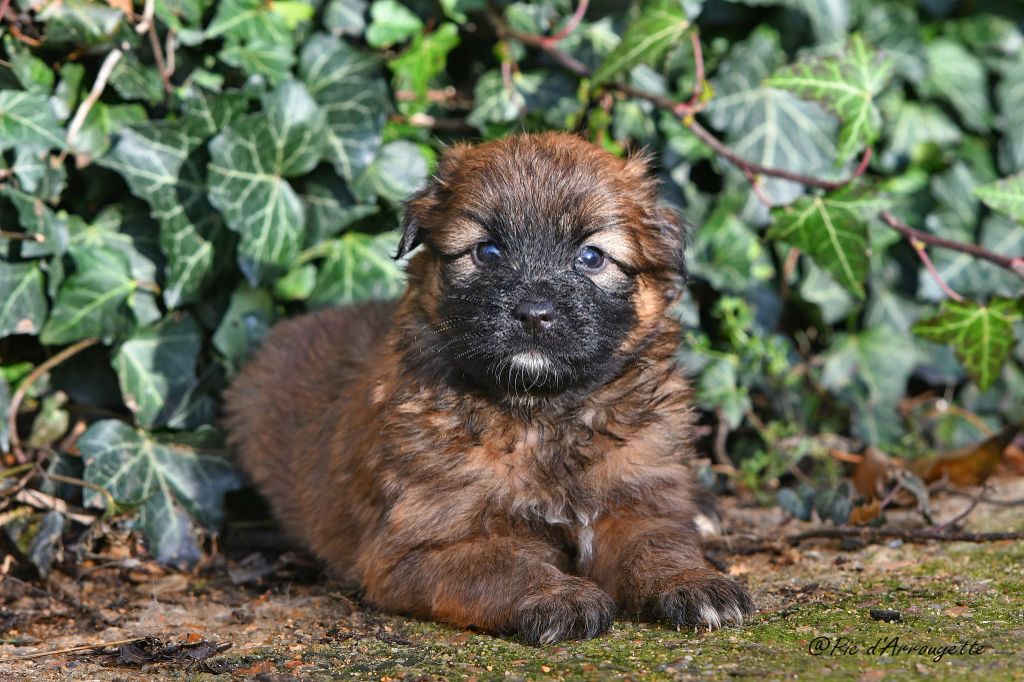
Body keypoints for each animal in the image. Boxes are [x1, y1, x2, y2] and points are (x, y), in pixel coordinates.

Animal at [224, 131, 753, 643]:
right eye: (488, 251)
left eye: (591, 257)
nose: (534, 313)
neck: (541, 414)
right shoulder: (421, 543)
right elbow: (503, 564)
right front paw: (558, 596)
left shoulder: (636, 501)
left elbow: (658, 542)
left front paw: (693, 582)